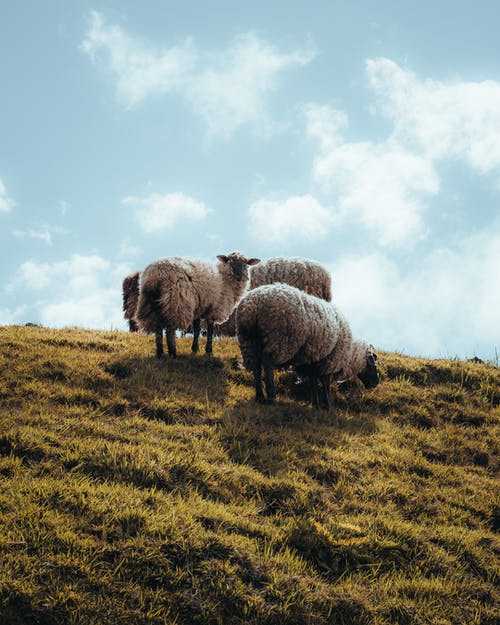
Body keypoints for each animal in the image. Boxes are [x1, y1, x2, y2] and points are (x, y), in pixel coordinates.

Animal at [236, 282, 376, 410]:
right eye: (372, 364)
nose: (376, 383)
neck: (351, 354)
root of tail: (252, 305)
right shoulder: (329, 361)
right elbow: (325, 382)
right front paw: (327, 406)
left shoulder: (312, 360)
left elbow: (313, 381)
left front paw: (316, 404)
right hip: (278, 338)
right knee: (267, 363)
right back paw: (271, 396)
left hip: (249, 341)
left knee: (256, 366)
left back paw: (260, 396)